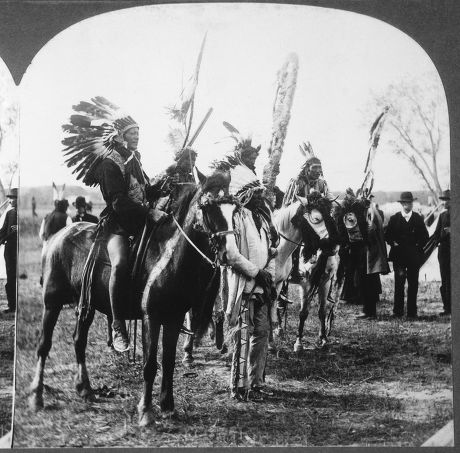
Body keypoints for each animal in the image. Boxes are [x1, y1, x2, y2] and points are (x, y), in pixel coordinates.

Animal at [27, 172, 241, 424]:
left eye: (234, 209)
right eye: (208, 207)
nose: (230, 253)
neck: (168, 256)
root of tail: (57, 237)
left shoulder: (174, 318)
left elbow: (168, 362)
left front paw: (168, 406)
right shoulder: (151, 317)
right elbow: (150, 364)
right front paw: (146, 411)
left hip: (86, 306)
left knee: (79, 341)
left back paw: (85, 389)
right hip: (52, 302)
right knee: (44, 345)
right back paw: (37, 396)